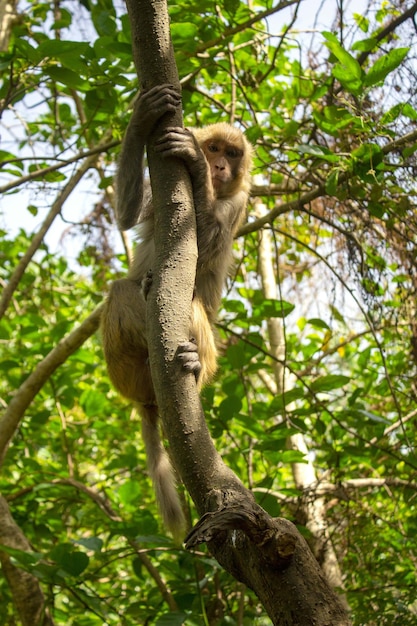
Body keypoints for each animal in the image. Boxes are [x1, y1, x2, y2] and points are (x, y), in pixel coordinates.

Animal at [101, 85, 252, 540]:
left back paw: (192, 363)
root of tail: (145, 399)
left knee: (189, 301)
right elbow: (128, 214)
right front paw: (140, 120)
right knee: (121, 290)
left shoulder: (240, 200)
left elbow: (209, 244)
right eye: (216, 147)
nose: (217, 164)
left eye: (232, 154)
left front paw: (197, 169)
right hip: (124, 374)